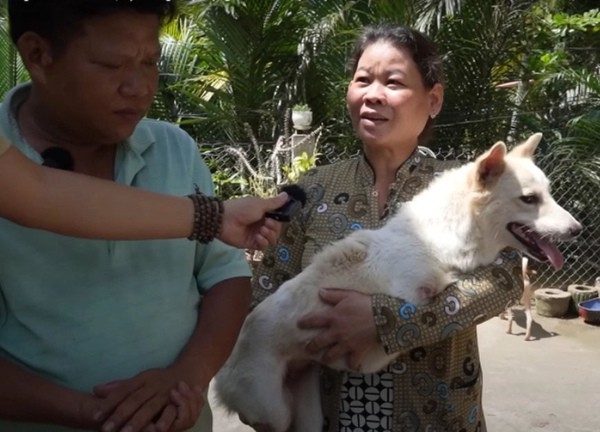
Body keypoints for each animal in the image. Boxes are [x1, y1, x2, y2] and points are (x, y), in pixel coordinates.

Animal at [214, 133, 580, 430]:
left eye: (549, 194)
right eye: (529, 199)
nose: (578, 230)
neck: (442, 236)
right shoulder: (413, 291)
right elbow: (432, 292)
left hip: (308, 412)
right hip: (274, 411)